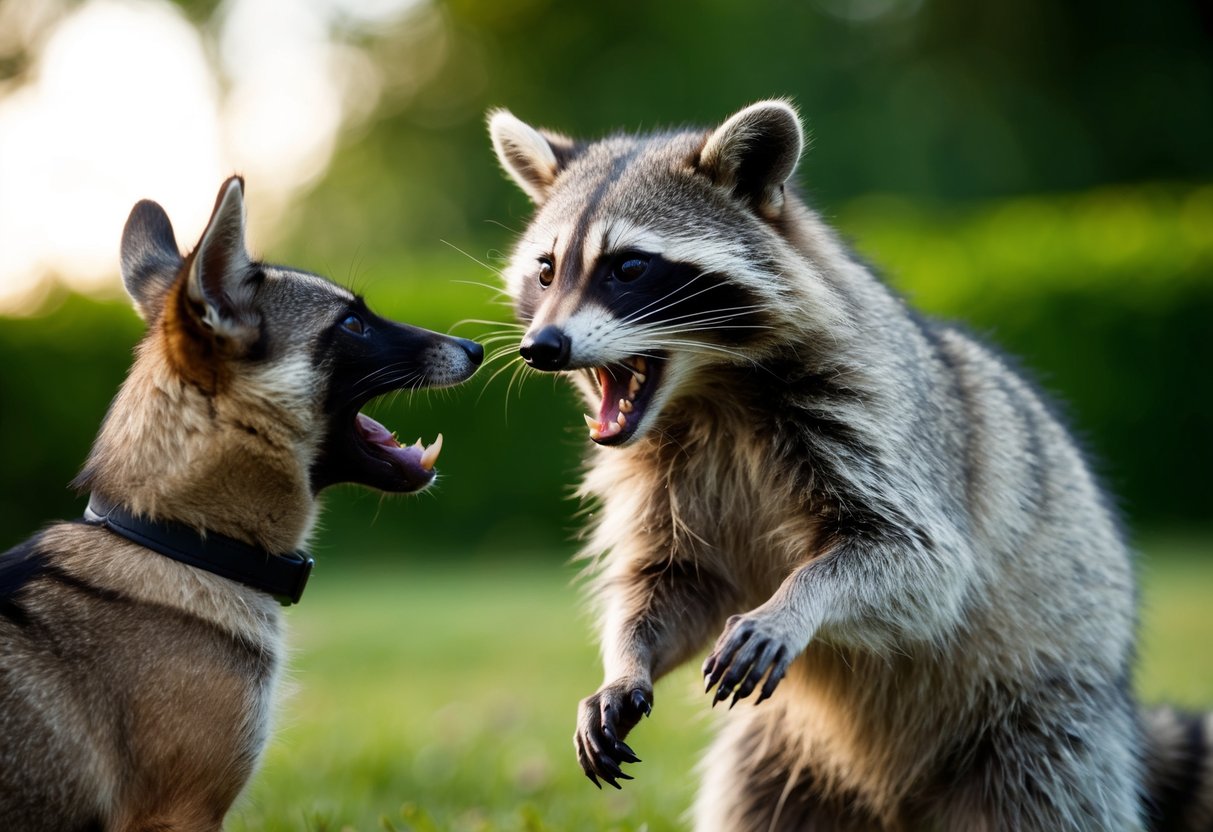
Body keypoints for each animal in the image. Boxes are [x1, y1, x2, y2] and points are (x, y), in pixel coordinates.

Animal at [488, 102, 1212, 831]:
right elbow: (672, 580)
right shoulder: (660, 477)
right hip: (783, 754)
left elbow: (920, 561)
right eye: (546, 271)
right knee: (751, 798)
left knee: (1047, 792)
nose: (540, 347)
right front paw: (624, 663)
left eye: (629, 267)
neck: (708, 390)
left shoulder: (873, 418)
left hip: (1046, 726)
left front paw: (797, 599)